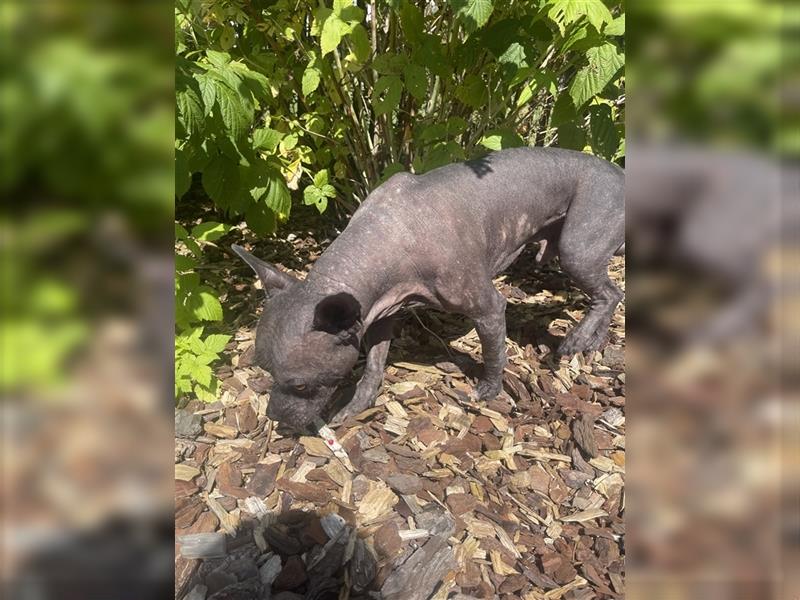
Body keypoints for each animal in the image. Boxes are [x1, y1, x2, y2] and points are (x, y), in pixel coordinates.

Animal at [233, 149, 624, 432]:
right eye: (263, 369)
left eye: (300, 385)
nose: (273, 417)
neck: (384, 239)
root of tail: (619, 172)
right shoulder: (378, 317)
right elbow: (373, 366)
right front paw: (357, 405)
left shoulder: (489, 309)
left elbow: (494, 353)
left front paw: (490, 389)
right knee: (612, 294)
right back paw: (593, 341)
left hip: (576, 250)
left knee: (607, 293)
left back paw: (576, 339)